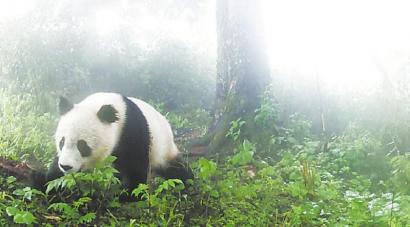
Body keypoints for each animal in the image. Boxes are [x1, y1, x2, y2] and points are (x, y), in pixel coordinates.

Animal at [34, 91, 192, 201]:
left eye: (82, 146)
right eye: (62, 142)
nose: (66, 166)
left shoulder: (131, 130)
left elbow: (134, 165)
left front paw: (128, 195)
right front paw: (48, 183)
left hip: (162, 148)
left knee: (175, 168)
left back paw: (187, 180)